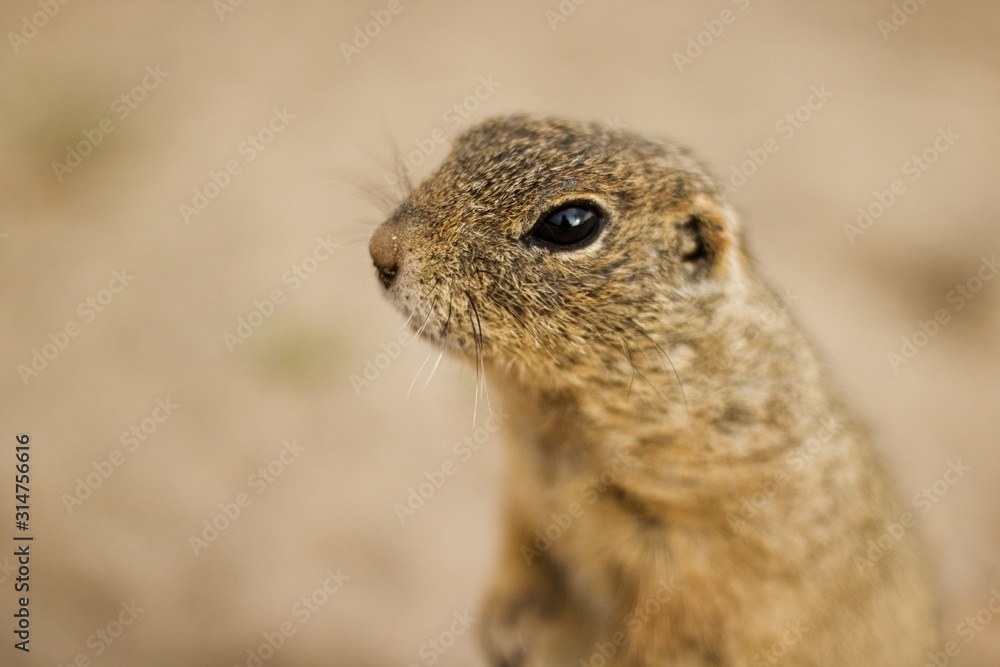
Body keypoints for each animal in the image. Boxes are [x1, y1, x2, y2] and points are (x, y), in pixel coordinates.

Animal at [368, 114, 938, 666]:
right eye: (469, 138)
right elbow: (519, 545)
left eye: (570, 223)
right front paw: (505, 621)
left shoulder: (712, 559)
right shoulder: (525, 488)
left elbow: (677, 636)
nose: (381, 250)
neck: (557, 434)